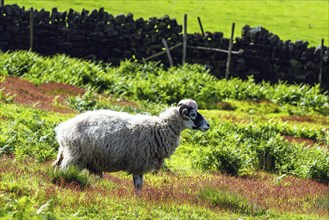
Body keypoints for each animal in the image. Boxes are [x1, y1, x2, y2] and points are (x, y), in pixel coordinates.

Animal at [52, 99, 209, 192]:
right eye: (193, 114)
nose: (208, 125)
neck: (160, 128)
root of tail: (62, 129)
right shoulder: (138, 163)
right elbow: (138, 185)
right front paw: (138, 201)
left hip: (68, 154)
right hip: (74, 156)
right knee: (65, 171)